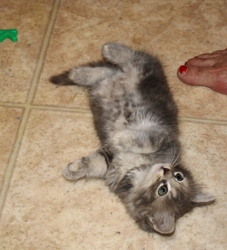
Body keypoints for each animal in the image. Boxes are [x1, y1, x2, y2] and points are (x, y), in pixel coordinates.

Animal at [50, 42, 215, 235]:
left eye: (163, 190)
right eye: (179, 176)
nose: (165, 169)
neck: (137, 167)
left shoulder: (112, 165)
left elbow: (96, 162)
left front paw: (75, 168)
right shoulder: (163, 138)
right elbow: (142, 140)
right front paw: (118, 139)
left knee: (113, 71)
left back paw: (85, 71)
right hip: (144, 74)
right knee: (133, 59)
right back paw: (105, 53)